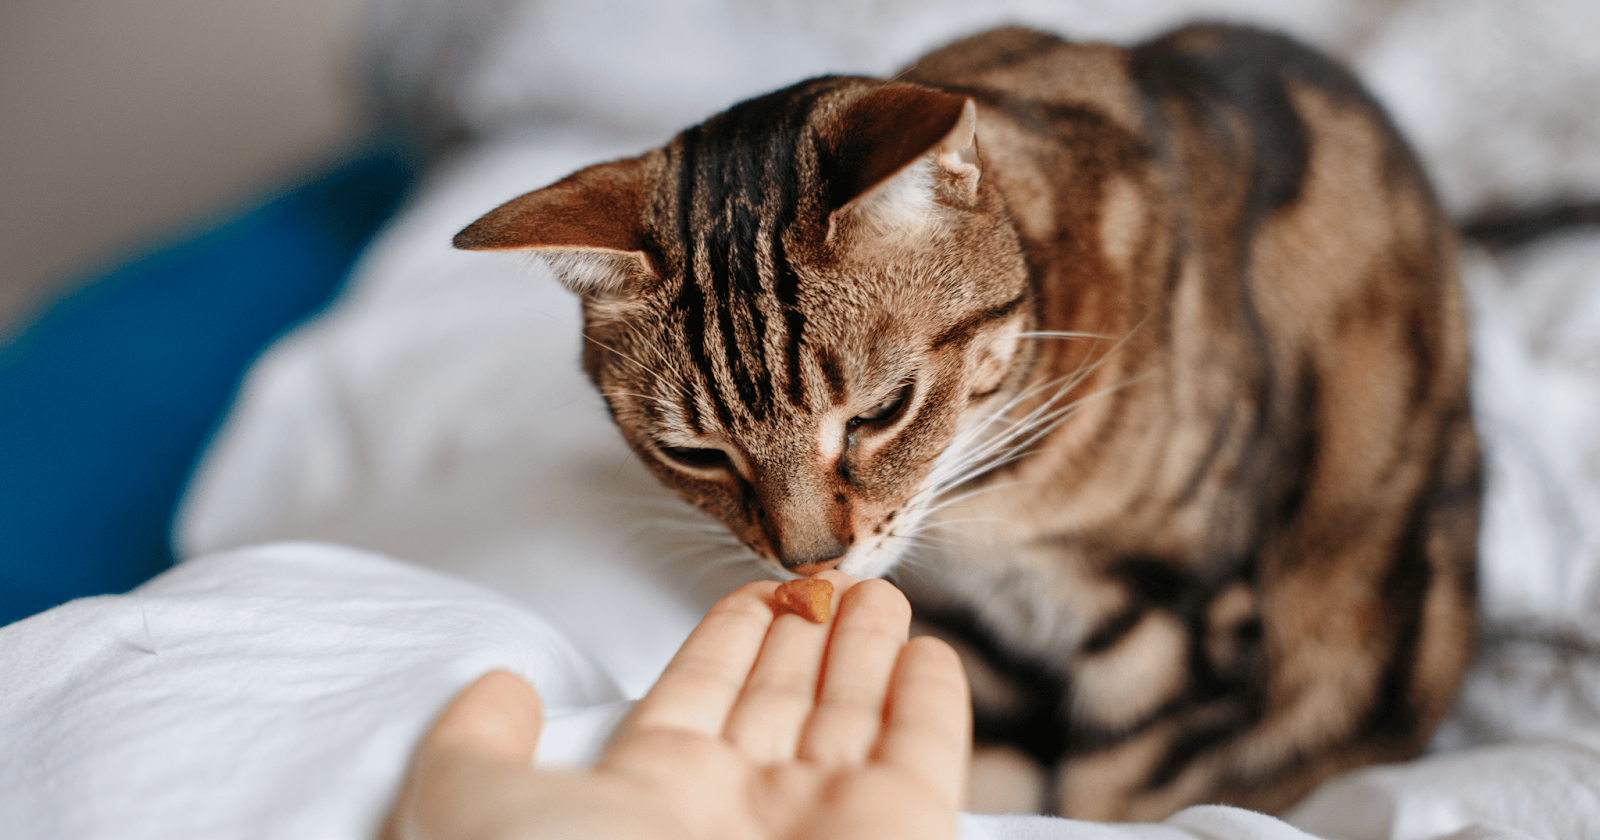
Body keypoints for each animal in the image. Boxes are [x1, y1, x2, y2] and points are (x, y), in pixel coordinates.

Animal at [448, 24, 1472, 819]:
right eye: (692, 453)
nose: (811, 562)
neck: (991, 512)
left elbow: (1106, 801)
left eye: (882, 411)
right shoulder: (975, 647)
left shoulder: (1178, 633)